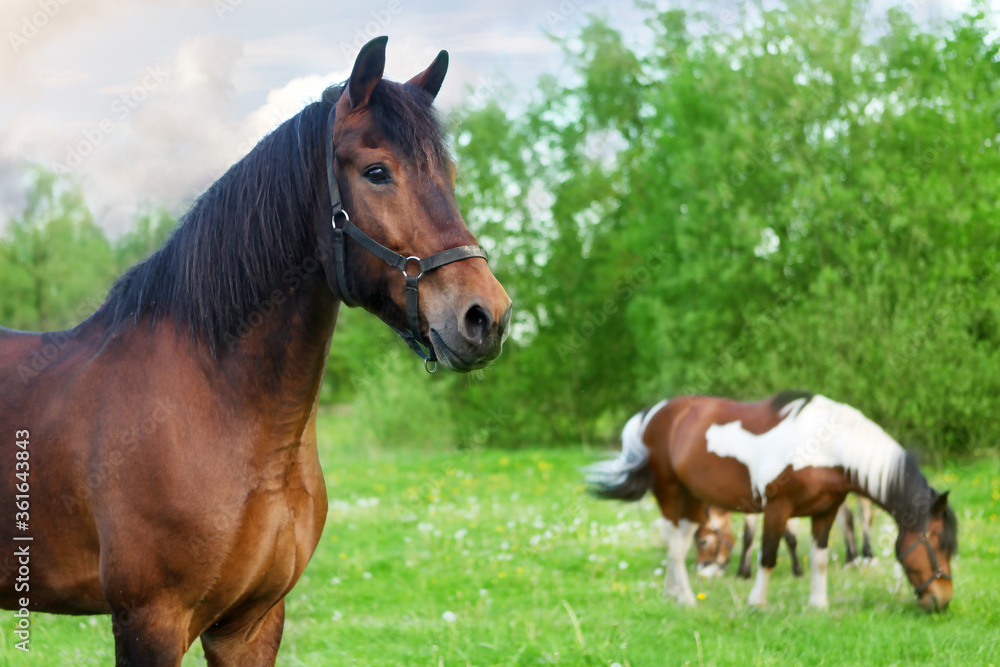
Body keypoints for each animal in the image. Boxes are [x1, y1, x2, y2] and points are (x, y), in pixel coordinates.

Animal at [588, 394, 956, 612]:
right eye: (937, 542)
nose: (941, 599)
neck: (827, 447)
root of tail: (653, 413)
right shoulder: (777, 509)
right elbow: (767, 555)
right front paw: (756, 602)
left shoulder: (826, 511)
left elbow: (819, 559)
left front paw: (818, 604)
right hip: (669, 493)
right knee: (675, 546)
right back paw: (688, 599)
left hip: (692, 499)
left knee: (674, 540)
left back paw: (672, 593)